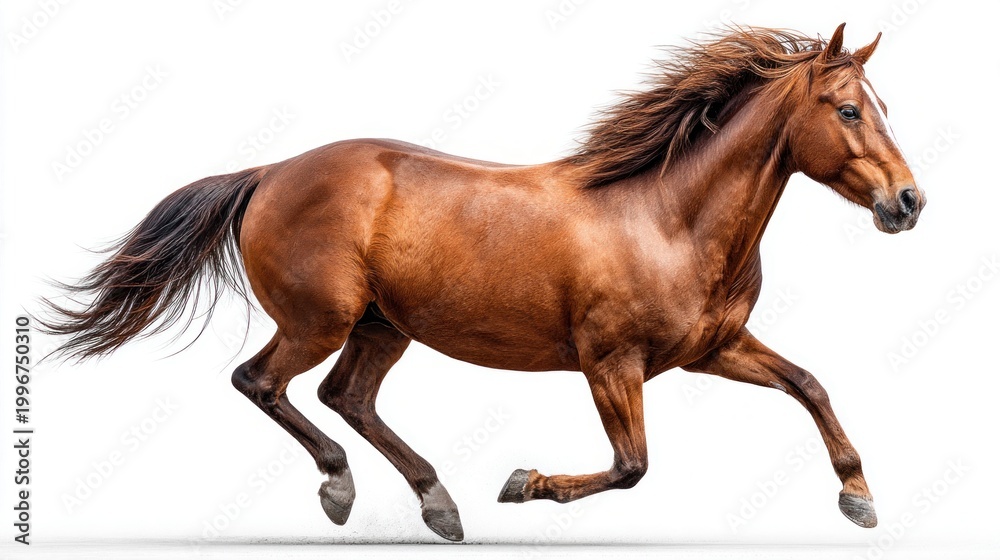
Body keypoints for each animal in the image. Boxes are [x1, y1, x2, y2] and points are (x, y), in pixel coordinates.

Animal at [41, 24, 923, 542]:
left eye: (881, 104)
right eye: (848, 110)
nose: (908, 203)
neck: (668, 216)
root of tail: (270, 172)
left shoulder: (712, 347)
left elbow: (809, 384)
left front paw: (859, 499)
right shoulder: (611, 362)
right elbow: (632, 465)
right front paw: (522, 484)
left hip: (383, 326)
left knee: (344, 396)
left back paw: (438, 504)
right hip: (320, 321)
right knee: (260, 382)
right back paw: (341, 489)